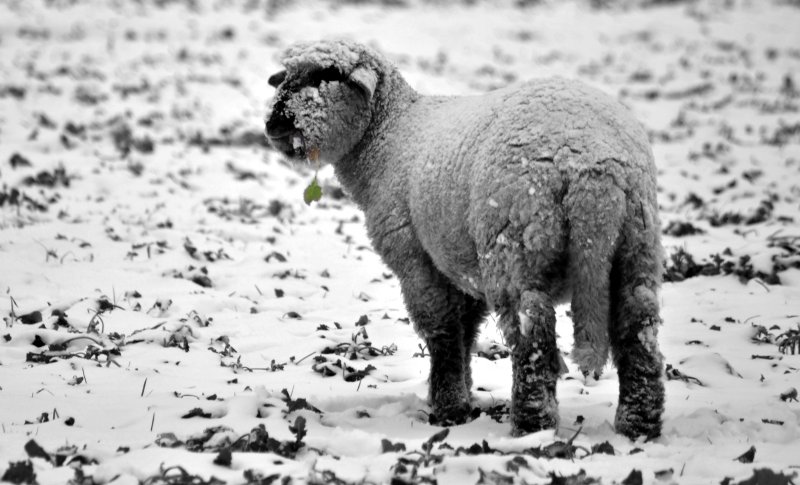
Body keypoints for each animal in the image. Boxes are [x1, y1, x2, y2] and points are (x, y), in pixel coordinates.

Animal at [266, 39, 664, 436]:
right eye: (286, 75)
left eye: (328, 76)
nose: (274, 122)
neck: (388, 139)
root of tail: (592, 168)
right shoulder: (460, 262)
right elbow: (466, 330)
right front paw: (461, 393)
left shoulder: (417, 259)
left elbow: (441, 332)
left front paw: (449, 406)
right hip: (635, 243)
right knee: (638, 327)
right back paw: (638, 423)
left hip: (515, 246)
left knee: (532, 335)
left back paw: (532, 422)